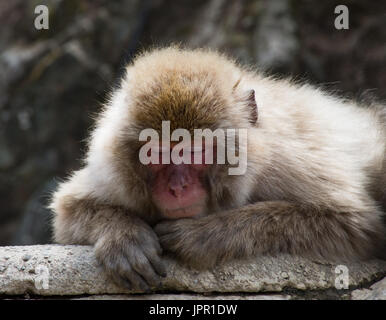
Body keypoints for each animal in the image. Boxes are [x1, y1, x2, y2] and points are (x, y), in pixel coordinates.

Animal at [49, 47, 386, 290]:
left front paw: (203, 236)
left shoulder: (286, 163)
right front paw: (125, 238)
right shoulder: (114, 173)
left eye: (195, 150)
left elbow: (353, 222)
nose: (177, 188)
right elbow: (68, 209)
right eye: (156, 152)